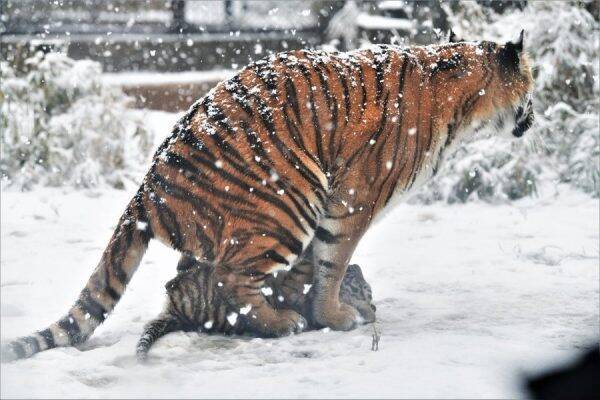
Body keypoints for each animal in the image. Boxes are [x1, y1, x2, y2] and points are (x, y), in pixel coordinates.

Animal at [1, 31, 536, 360]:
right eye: (532, 87)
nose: (534, 117)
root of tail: (147, 187)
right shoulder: (353, 199)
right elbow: (332, 263)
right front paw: (334, 315)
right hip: (288, 200)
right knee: (232, 280)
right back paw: (282, 323)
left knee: (195, 280)